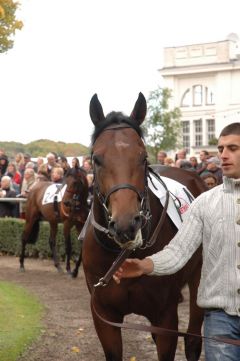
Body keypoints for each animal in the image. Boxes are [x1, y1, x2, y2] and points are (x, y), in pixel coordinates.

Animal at [82, 93, 206, 360]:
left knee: (193, 339)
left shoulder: (165, 317)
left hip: (200, 277)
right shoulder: (104, 316)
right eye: (96, 159)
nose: (126, 223)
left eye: (144, 157)